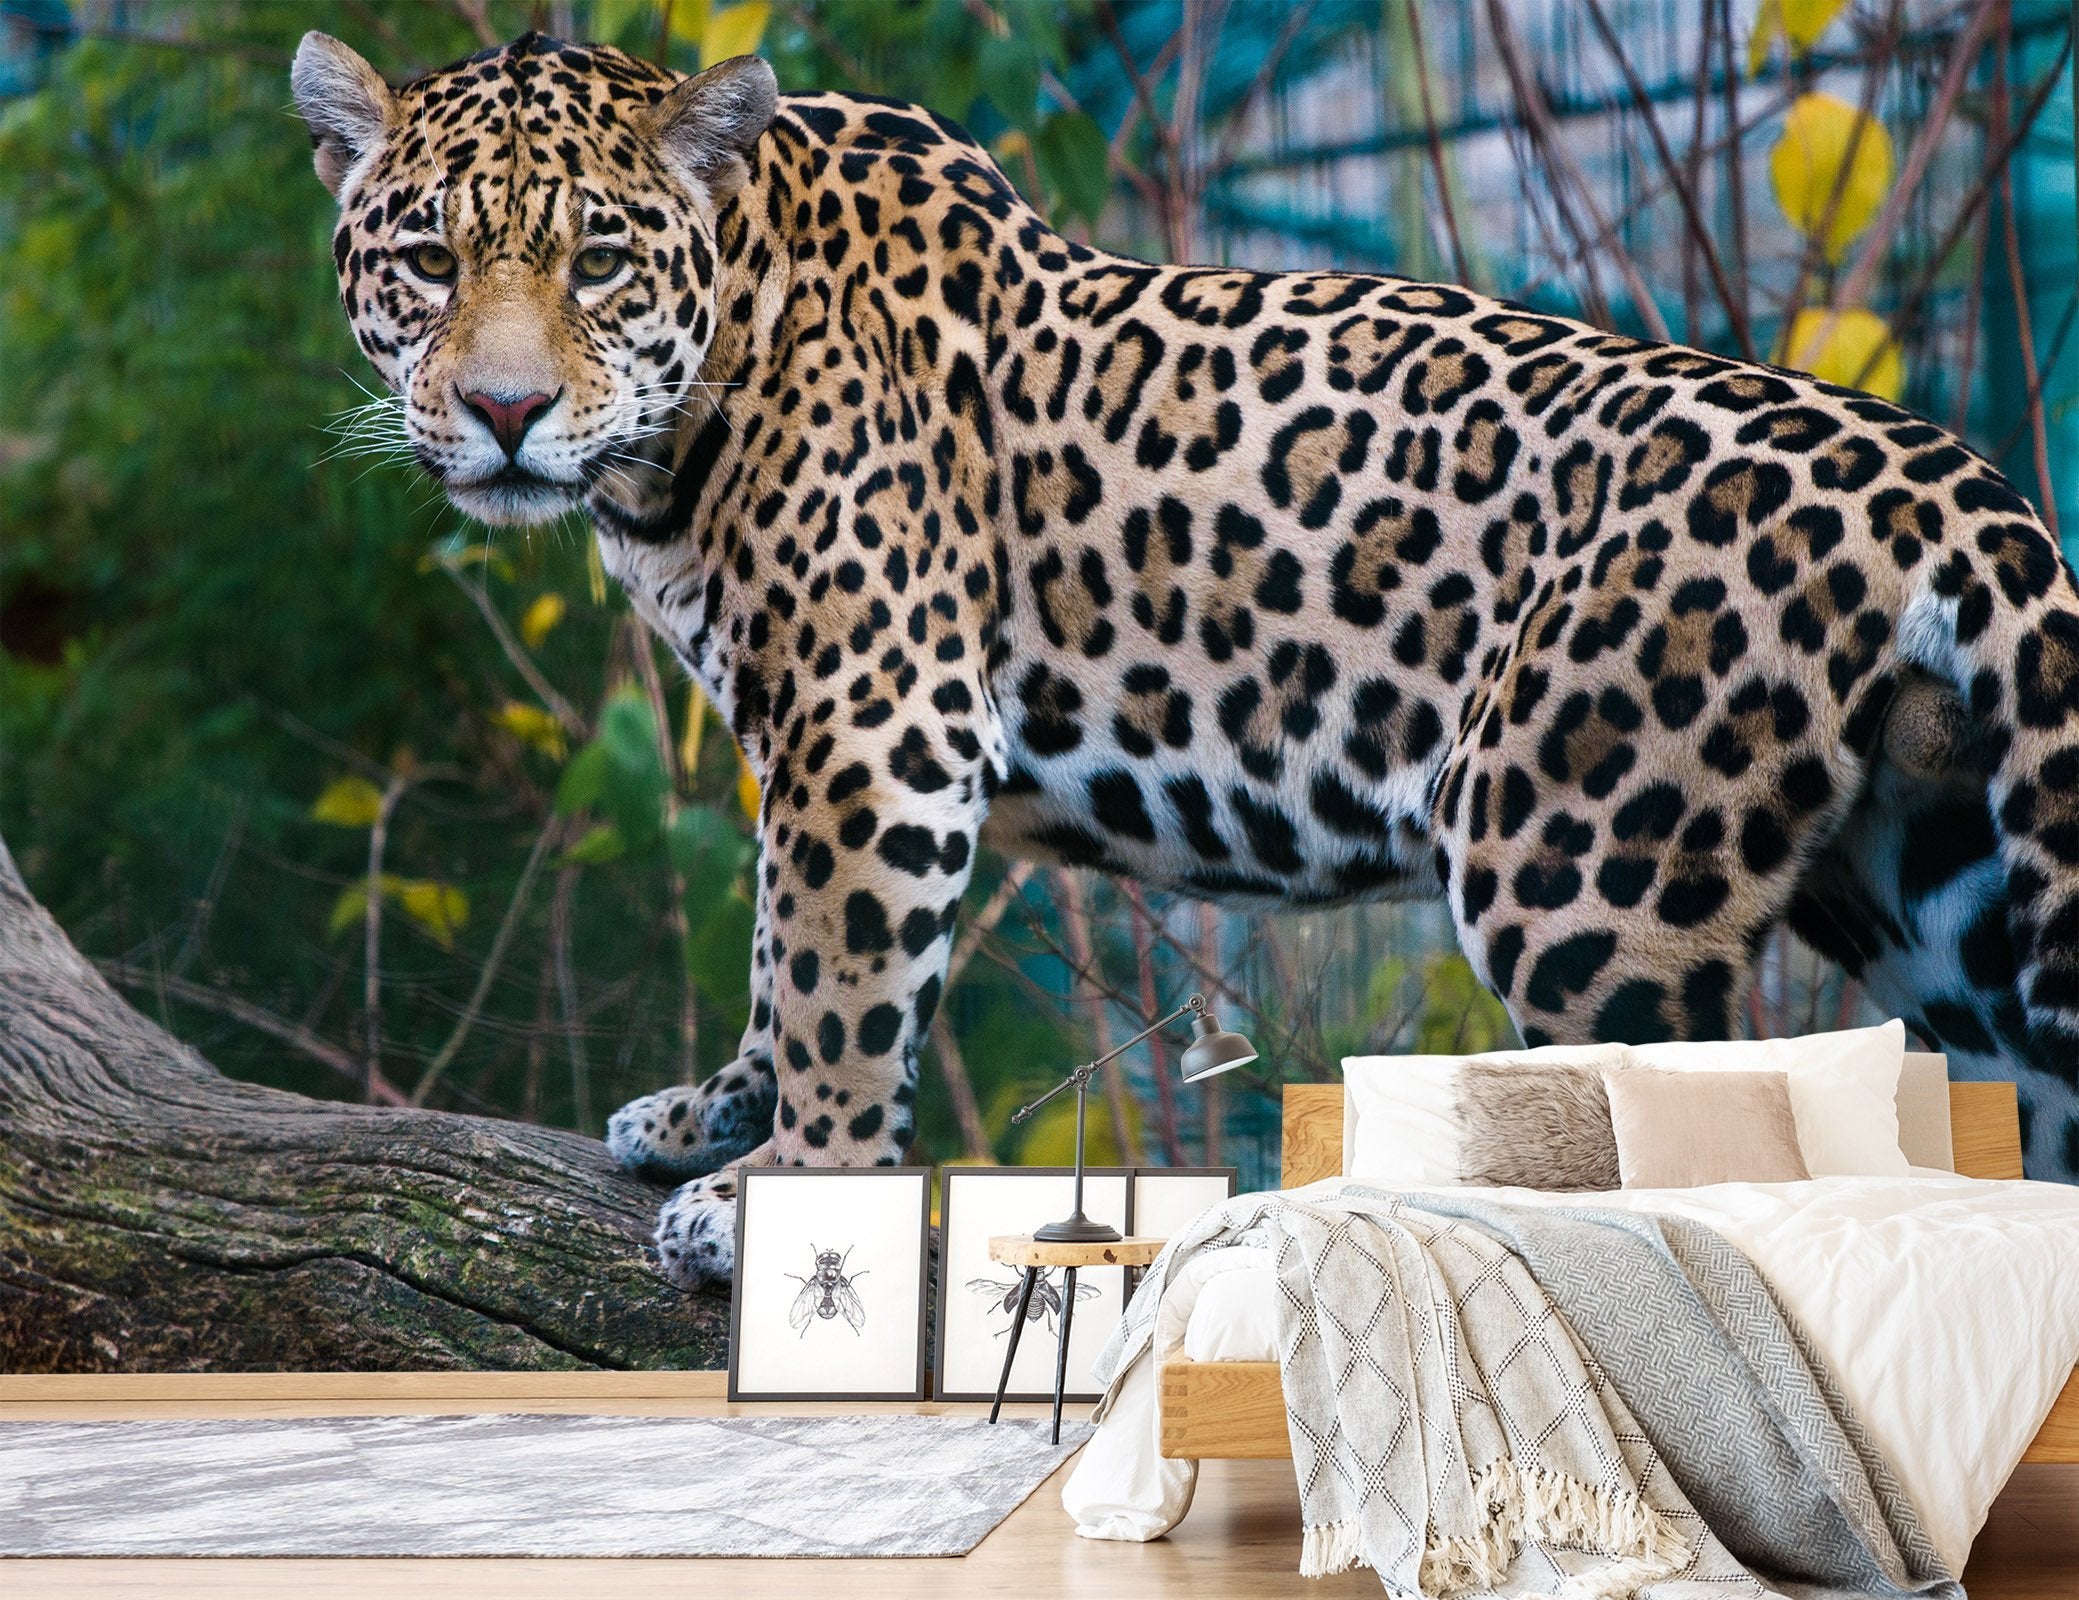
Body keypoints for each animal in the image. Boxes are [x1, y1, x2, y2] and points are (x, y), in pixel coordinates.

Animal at [291, 31, 2079, 1286]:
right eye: (427, 263)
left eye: (597, 263)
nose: (505, 411)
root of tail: (1948, 482)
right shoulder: (813, 732)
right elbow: (775, 955)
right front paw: (717, 1116)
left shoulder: (877, 723)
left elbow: (836, 971)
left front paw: (787, 1185)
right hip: (1941, 901)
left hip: (1583, 883)